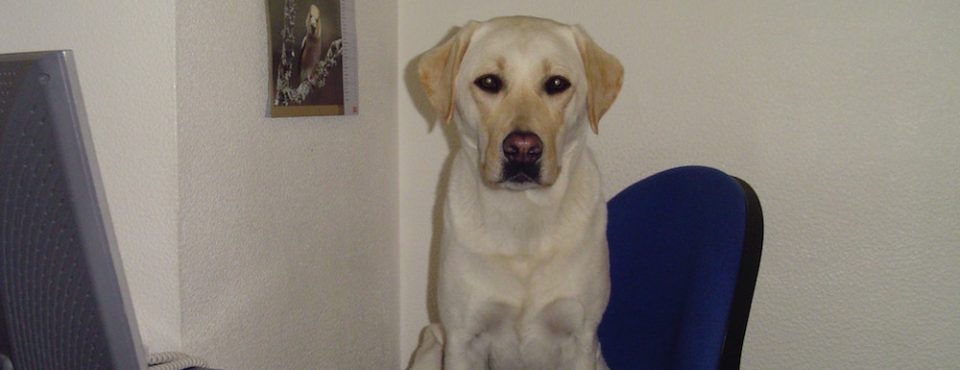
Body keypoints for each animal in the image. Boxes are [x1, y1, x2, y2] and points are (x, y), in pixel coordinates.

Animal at [410, 15, 624, 370]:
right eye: (489, 81)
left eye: (556, 84)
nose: (522, 148)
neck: (523, 216)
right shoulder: (462, 337)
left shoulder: (580, 339)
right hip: (431, 343)